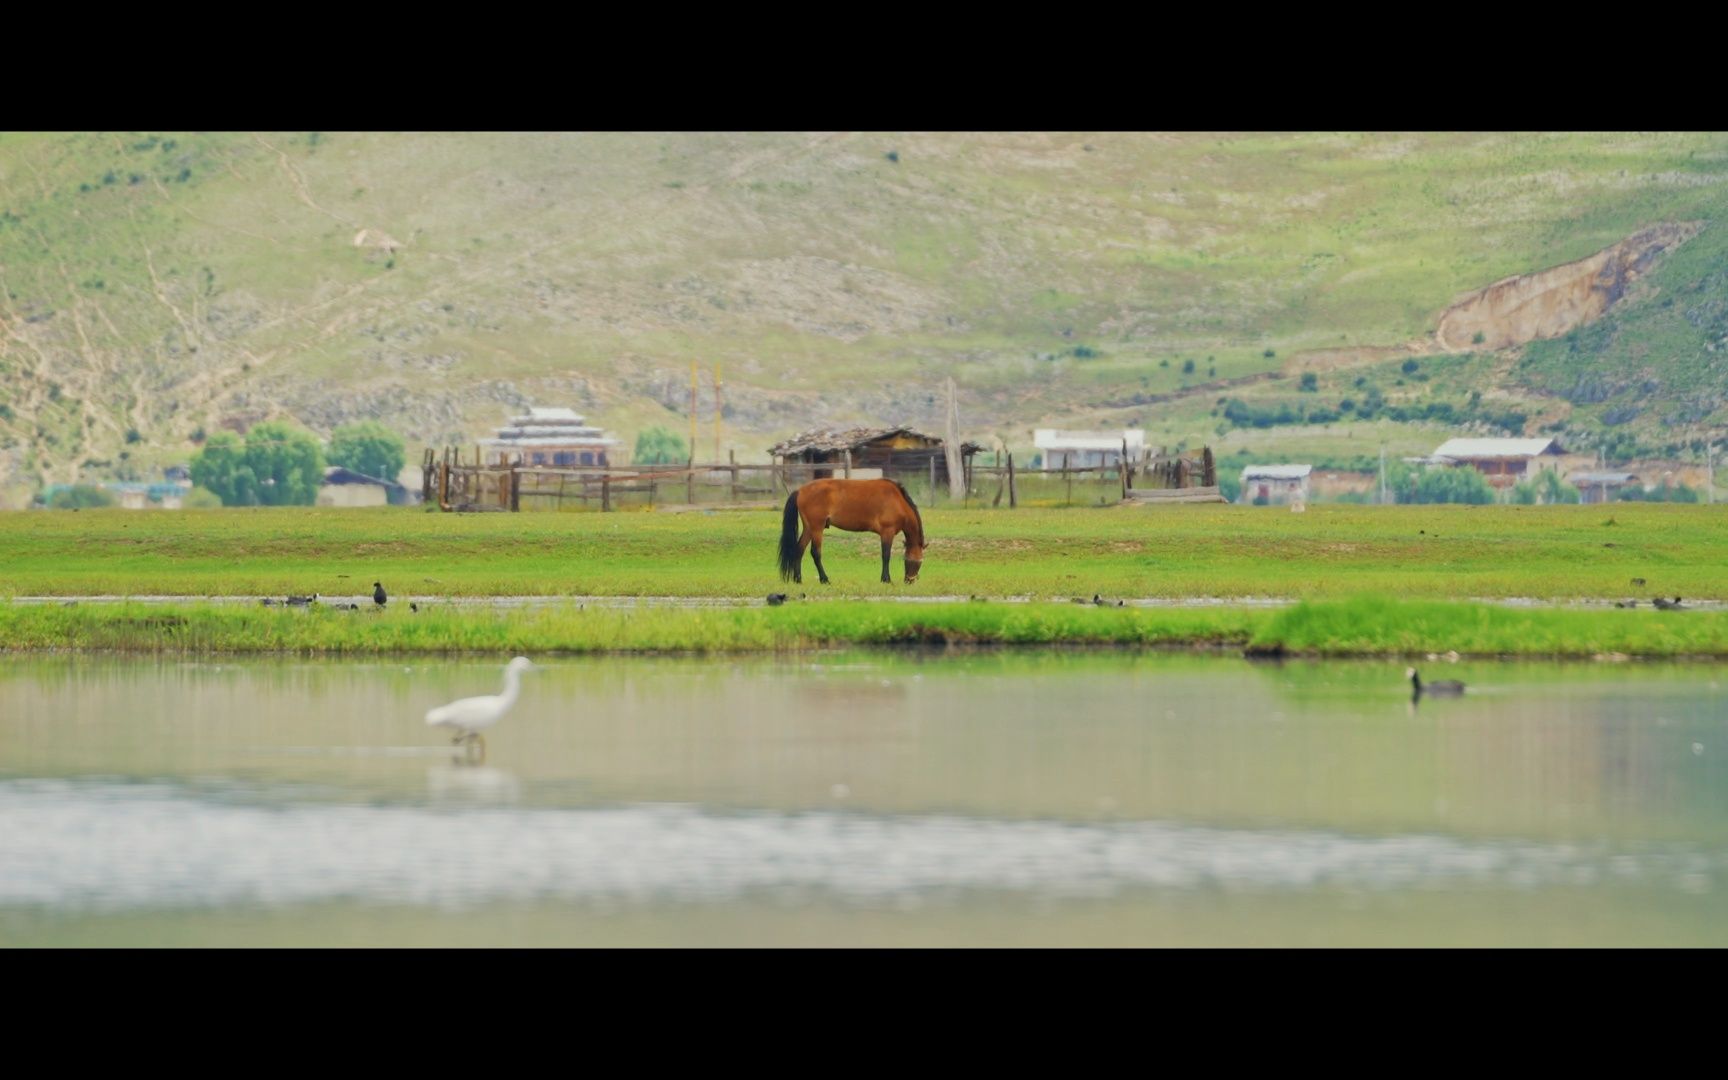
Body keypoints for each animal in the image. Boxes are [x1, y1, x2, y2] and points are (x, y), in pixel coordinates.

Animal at [777, 476, 926, 584]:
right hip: (817, 528)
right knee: (815, 553)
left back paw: (798, 579)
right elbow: (886, 556)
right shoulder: (887, 533)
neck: (897, 500)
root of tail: (800, 490)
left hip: (809, 529)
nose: (909, 581)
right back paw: (824, 579)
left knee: (799, 550)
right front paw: (886, 579)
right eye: (919, 562)